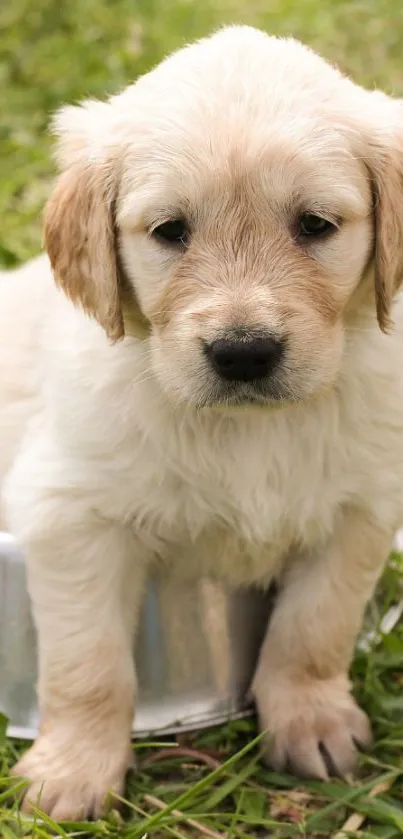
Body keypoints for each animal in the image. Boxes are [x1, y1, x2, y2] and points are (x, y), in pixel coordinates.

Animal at [0, 24, 403, 820]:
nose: (243, 352)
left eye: (315, 225)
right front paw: (71, 771)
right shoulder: (69, 514)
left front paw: (310, 720)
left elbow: (314, 628)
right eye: (169, 231)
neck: (250, 429)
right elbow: (88, 663)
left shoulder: (361, 507)